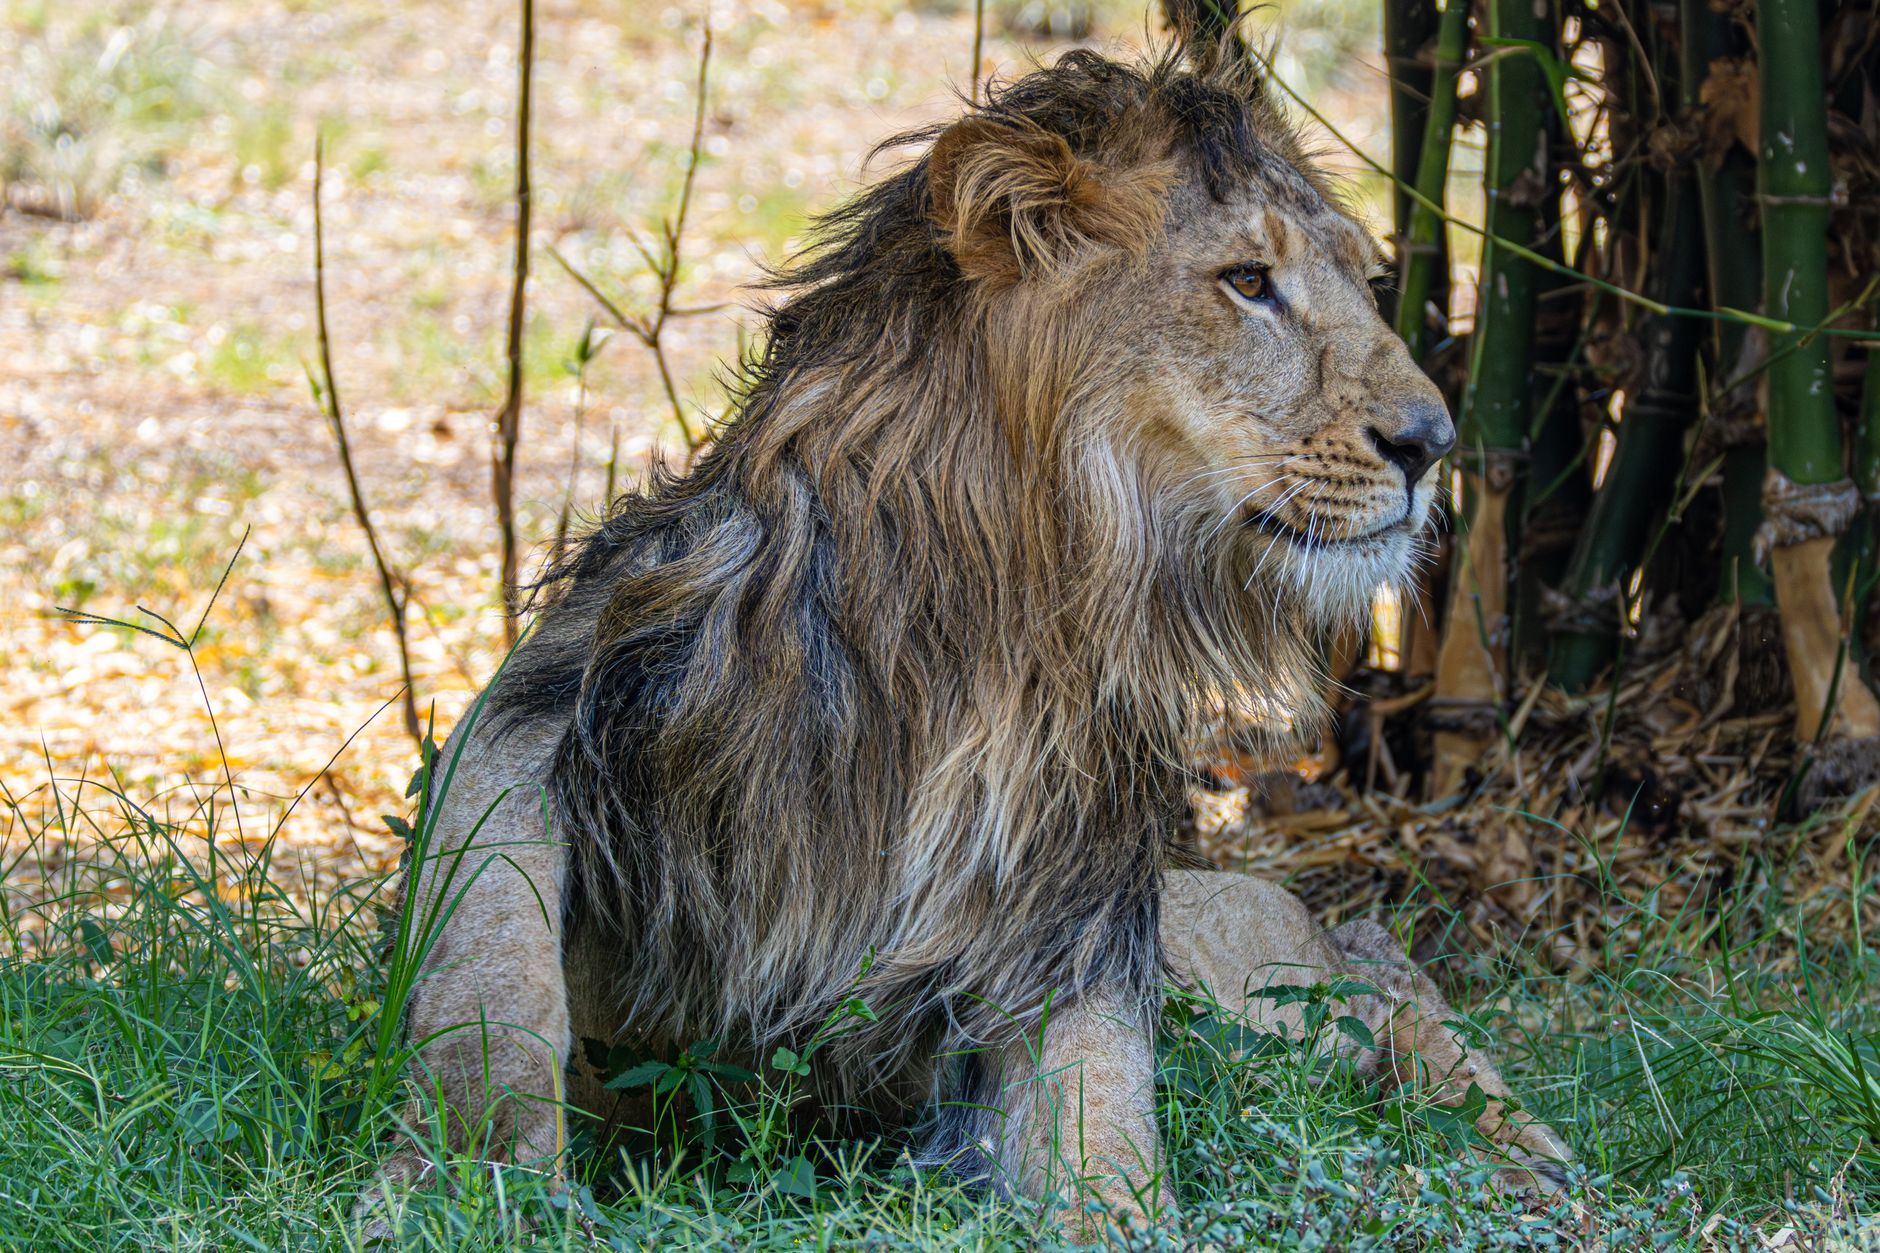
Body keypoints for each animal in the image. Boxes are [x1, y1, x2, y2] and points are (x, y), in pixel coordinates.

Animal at [366, 44, 1570, 1241]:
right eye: (1245, 281)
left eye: (1367, 282)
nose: (1432, 443)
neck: (989, 623)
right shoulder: (548, 708)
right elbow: (491, 954)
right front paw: (460, 1177)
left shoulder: (1078, 922)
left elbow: (1109, 1162)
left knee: (1369, 967)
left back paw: (1523, 1152)